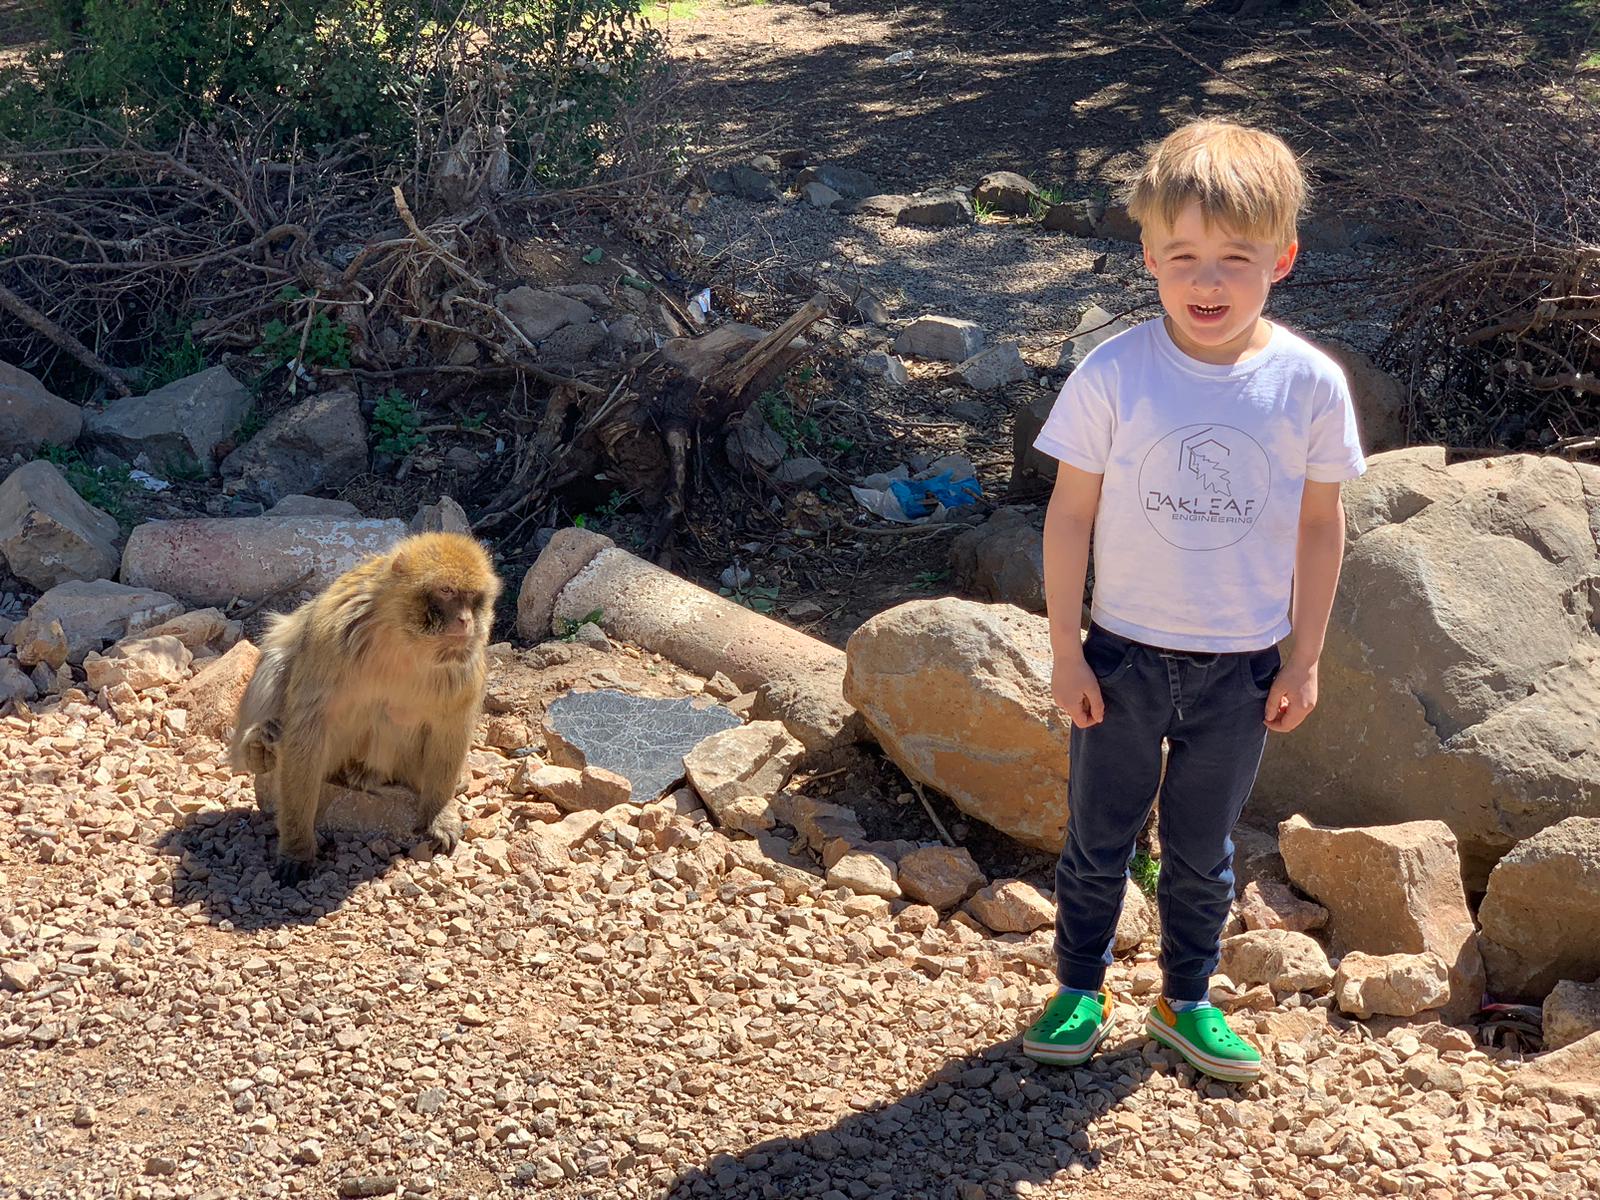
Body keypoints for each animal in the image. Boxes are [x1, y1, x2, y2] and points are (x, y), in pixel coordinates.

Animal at [229, 532, 503, 886]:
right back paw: (261, 747)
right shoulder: (333, 635)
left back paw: (369, 774)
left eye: (473, 598)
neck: (403, 637)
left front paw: (438, 813)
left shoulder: (463, 666)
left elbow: (451, 725)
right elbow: (308, 728)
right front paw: (296, 848)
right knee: (280, 652)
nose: (465, 621)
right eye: (447, 591)